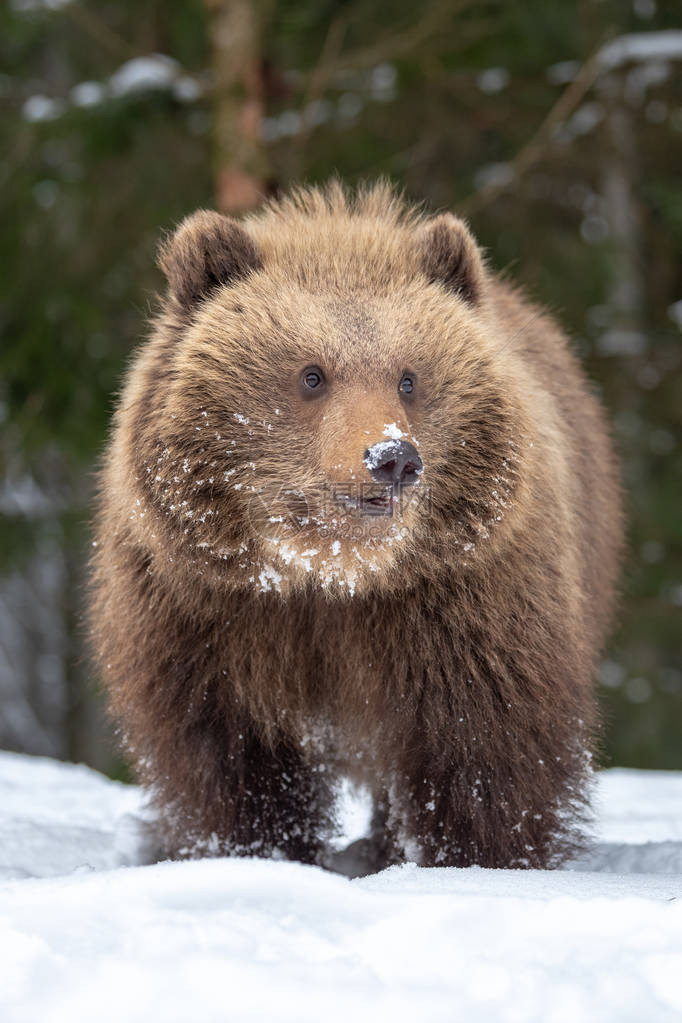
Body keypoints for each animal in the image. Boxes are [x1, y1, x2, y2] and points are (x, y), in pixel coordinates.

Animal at [90, 182, 625, 871]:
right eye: (311, 374)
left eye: (409, 377)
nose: (392, 457)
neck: (333, 575)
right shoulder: (209, 614)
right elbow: (228, 757)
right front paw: (254, 851)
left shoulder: (464, 605)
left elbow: (486, 746)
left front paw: (479, 858)